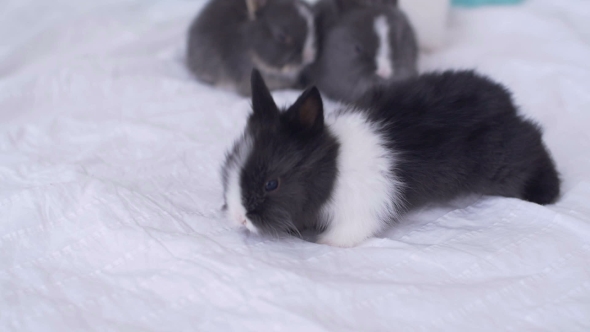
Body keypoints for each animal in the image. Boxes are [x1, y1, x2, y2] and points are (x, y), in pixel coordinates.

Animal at [221, 69, 560, 246]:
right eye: (227, 167)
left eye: (272, 184)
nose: (238, 218)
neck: (333, 166)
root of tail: (507, 103)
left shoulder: (360, 211)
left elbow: (347, 234)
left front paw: (323, 243)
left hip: (502, 161)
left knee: (532, 142)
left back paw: (546, 192)